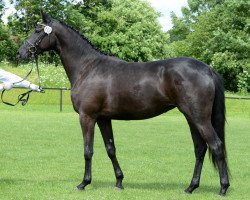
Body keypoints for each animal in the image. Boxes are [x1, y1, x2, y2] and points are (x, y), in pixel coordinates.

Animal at [16, 11, 229, 195]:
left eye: (37, 30)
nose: (20, 53)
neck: (87, 68)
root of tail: (208, 69)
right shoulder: (103, 119)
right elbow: (110, 149)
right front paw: (119, 181)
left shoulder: (87, 117)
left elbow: (88, 150)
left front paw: (84, 183)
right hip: (191, 118)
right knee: (200, 149)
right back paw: (191, 187)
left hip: (199, 119)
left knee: (216, 146)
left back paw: (223, 188)